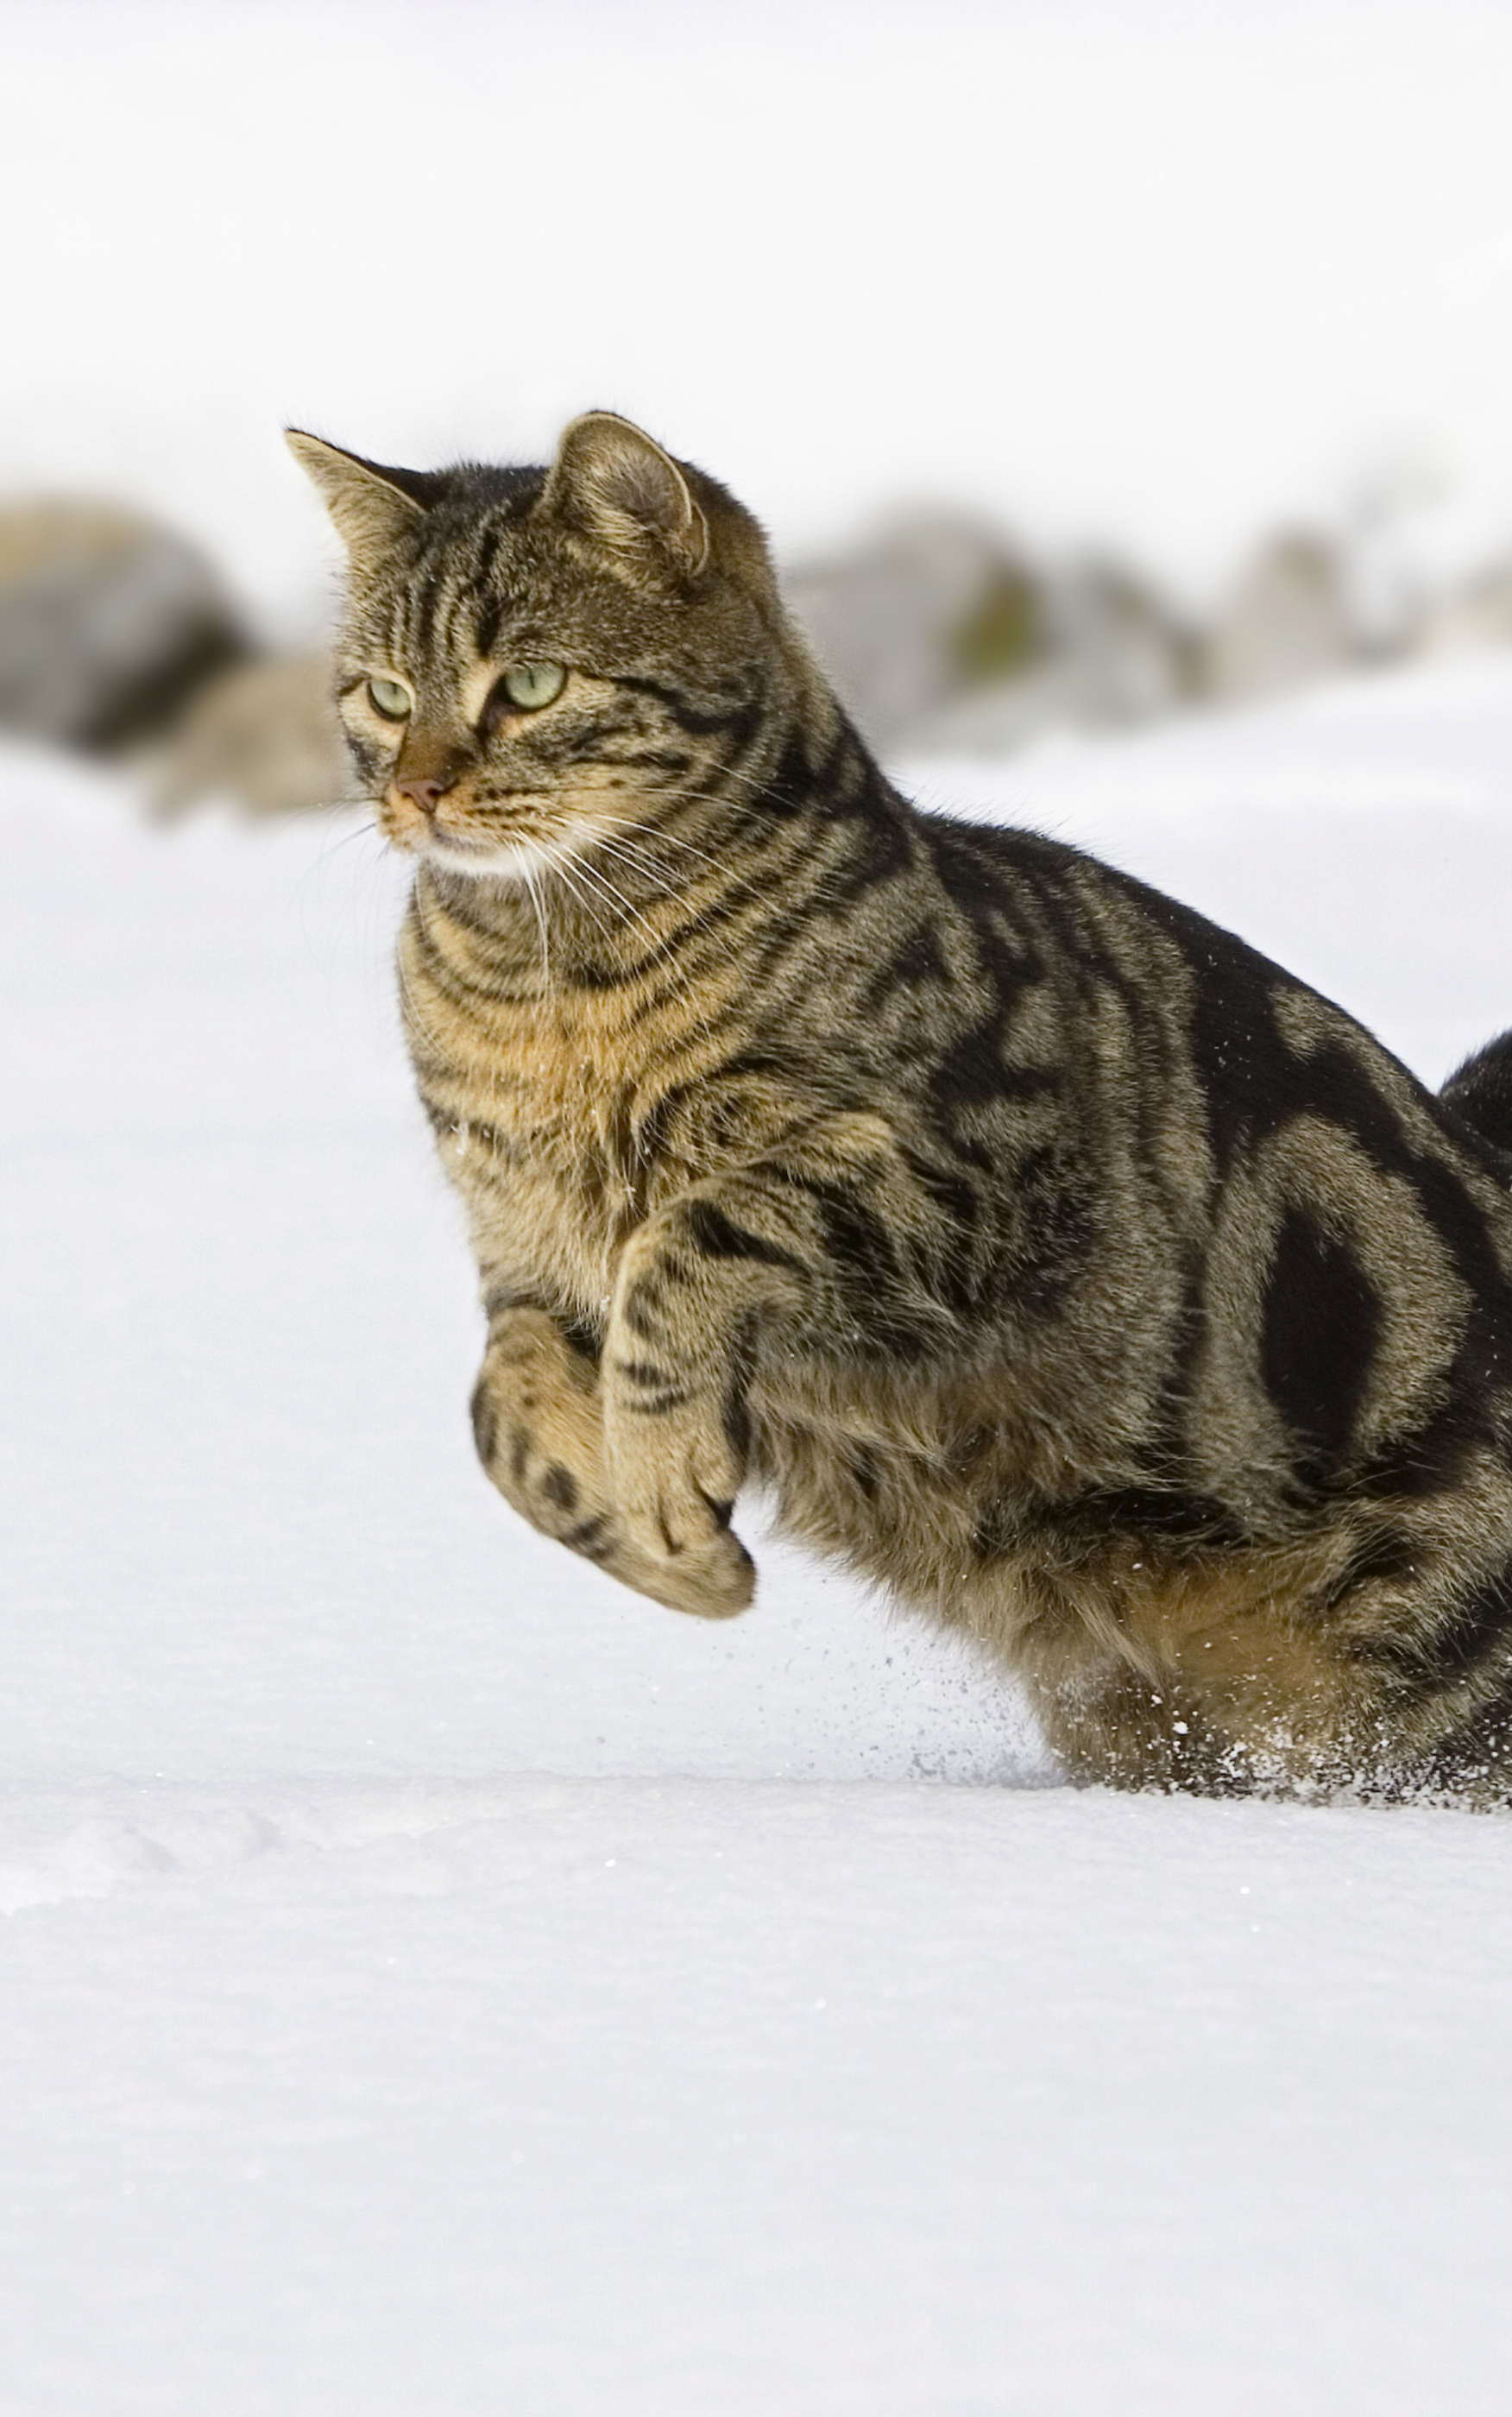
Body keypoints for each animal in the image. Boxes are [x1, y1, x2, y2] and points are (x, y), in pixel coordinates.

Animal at [291, 411, 1507, 1798]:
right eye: (386, 695)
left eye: (533, 685)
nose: (419, 790)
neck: (545, 988)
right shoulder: (522, 1249)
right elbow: (500, 1401)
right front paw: (669, 1548)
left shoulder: (982, 1180)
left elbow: (691, 1239)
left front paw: (662, 1475)